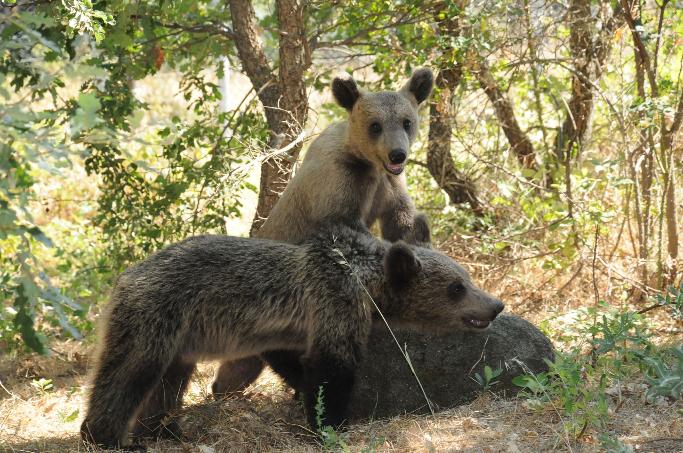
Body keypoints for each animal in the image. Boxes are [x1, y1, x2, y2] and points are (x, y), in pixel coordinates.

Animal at [81, 222, 508, 448]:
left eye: (467, 277)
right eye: (456, 287)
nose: (495, 305)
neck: (366, 281)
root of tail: (122, 279)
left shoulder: (286, 331)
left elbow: (292, 362)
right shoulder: (335, 303)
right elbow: (332, 371)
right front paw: (329, 424)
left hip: (180, 340)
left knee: (167, 382)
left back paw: (165, 430)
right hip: (156, 317)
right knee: (129, 374)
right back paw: (109, 436)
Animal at [214, 68, 436, 396]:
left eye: (407, 121)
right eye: (375, 125)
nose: (397, 155)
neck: (365, 164)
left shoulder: (387, 188)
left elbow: (403, 221)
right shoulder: (337, 188)